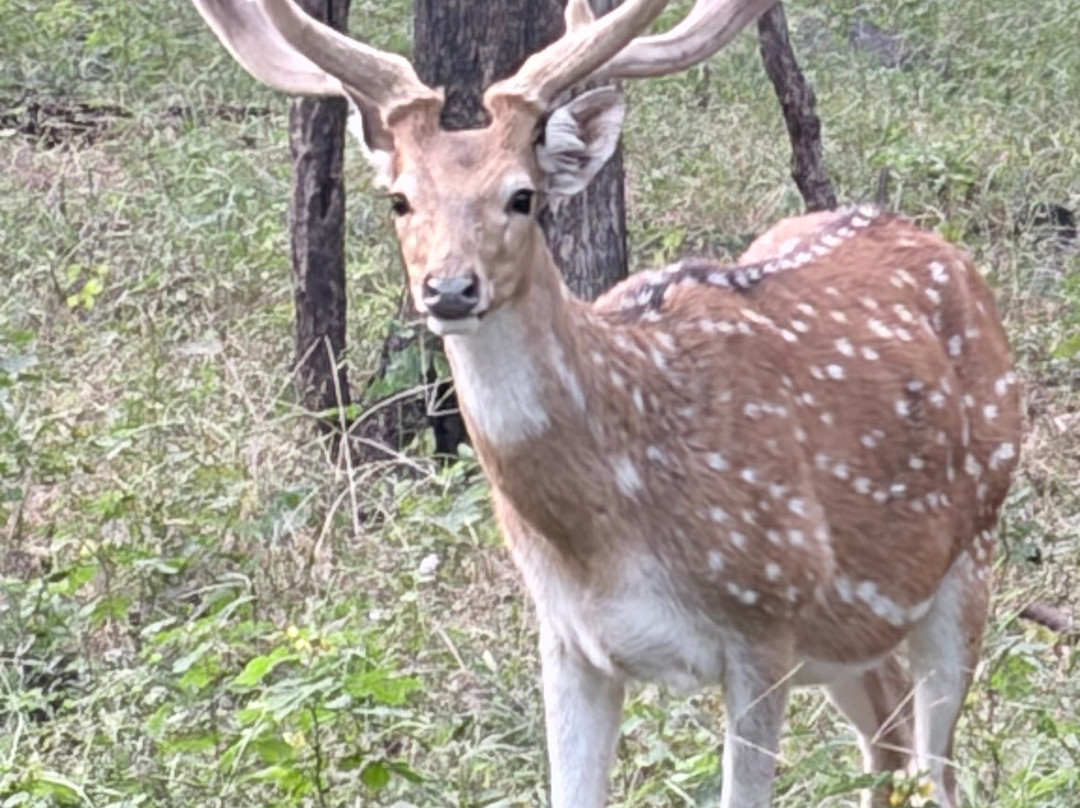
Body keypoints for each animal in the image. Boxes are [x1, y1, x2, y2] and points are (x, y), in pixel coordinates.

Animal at [191, 1, 1022, 806]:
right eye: (400, 199)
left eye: (521, 196)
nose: (450, 289)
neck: (607, 527)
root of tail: (942, 248)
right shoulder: (567, 638)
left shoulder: (767, 617)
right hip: (853, 628)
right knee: (888, 742)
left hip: (970, 554)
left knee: (935, 768)